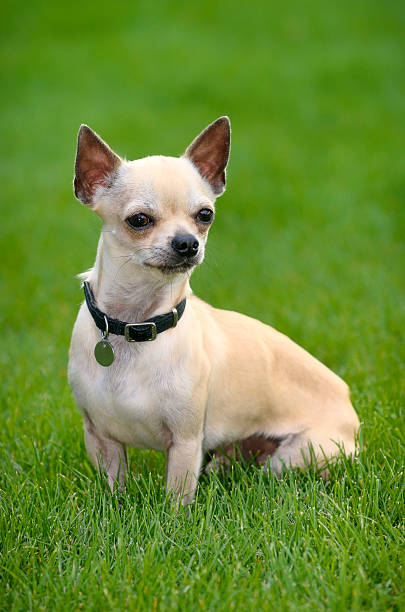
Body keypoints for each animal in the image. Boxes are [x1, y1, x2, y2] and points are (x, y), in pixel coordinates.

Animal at [68, 117, 358, 504]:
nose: (187, 243)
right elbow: (115, 488)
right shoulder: (101, 437)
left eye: (205, 215)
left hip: (295, 456)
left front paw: (170, 519)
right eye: (139, 220)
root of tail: (350, 407)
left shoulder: (185, 442)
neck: (136, 323)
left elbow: (175, 499)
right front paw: (116, 508)